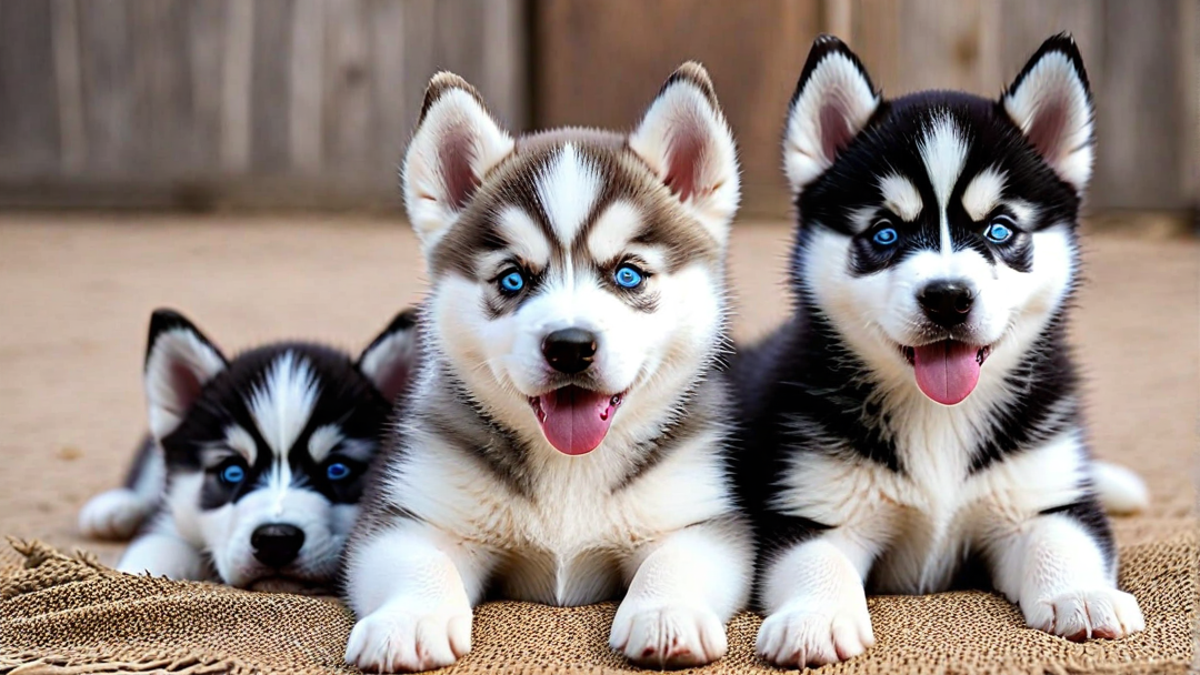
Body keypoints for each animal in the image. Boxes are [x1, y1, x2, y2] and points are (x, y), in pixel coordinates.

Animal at [78, 309, 417, 588]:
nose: (275, 541)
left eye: (337, 469)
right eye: (232, 472)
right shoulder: (170, 525)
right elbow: (155, 548)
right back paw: (115, 508)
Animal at [340, 61, 748, 667]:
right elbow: (419, 561)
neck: (571, 469)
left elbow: (675, 560)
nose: (570, 345)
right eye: (513, 279)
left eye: (628, 274)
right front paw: (407, 621)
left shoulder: (699, 514)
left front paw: (664, 612)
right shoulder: (412, 516)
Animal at [734, 34, 1147, 662]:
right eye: (884, 234)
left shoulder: (1039, 499)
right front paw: (815, 617)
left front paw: (1082, 593)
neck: (939, 417)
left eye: (1000, 230)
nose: (948, 297)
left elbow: (1062, 538)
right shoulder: (814, 510)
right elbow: (816, 562)